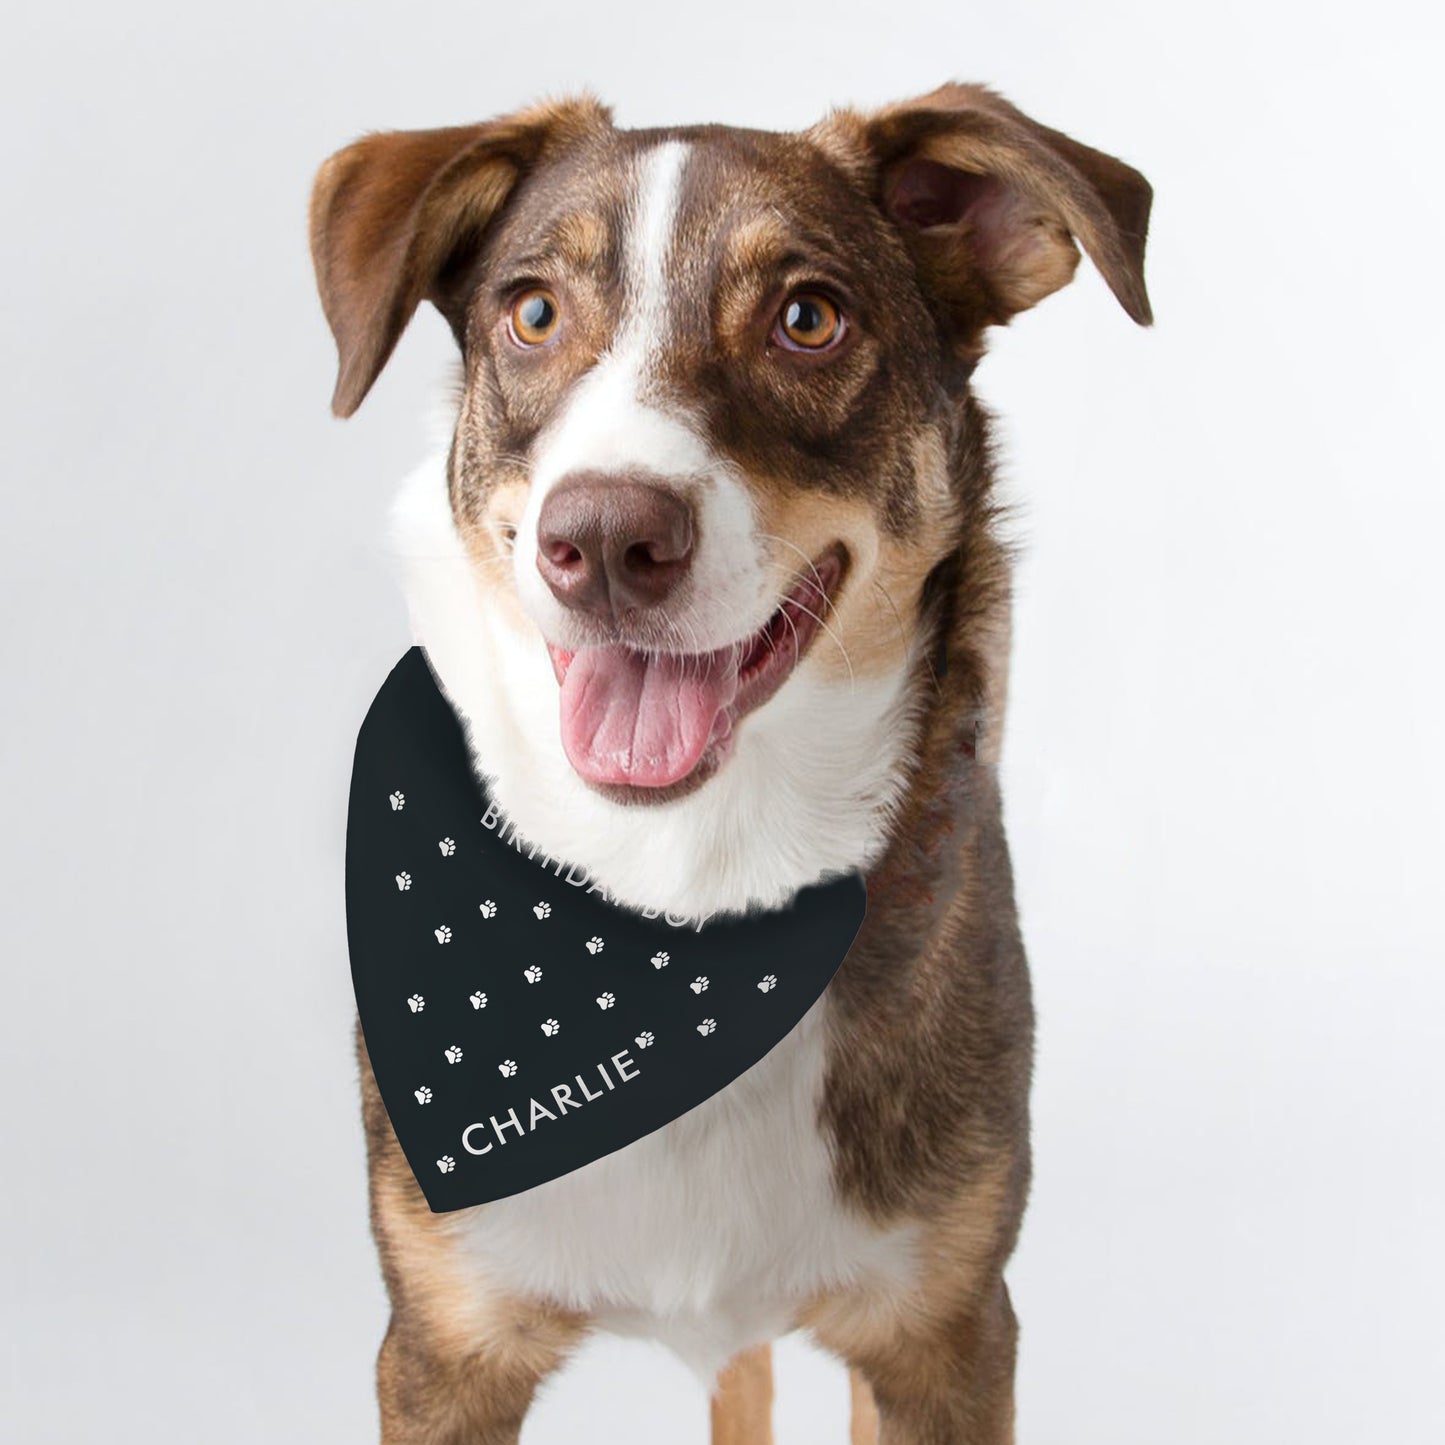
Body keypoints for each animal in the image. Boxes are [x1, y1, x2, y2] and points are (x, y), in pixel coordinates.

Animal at [307, 82, 1150, 1445]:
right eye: (532, 311)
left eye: (807, 318)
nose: (602, 536)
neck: (684, 890)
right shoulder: (441, 1344)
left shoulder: (943, 1335)